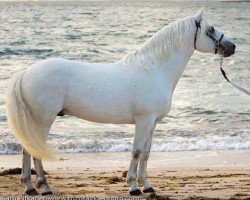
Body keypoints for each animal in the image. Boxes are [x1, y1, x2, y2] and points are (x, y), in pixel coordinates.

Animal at [6, 9, 236, 195]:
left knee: (27, 148)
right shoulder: (143, 121)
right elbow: (136, 151)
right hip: (43, 120)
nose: (232, 47)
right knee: (34, 150)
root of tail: (26, 72)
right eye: (211, 29)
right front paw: (133, 186)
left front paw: (147, 185)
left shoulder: (152, 123)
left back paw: (29, 187)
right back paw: (44, 187)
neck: (153, 70)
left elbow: (146, 153)